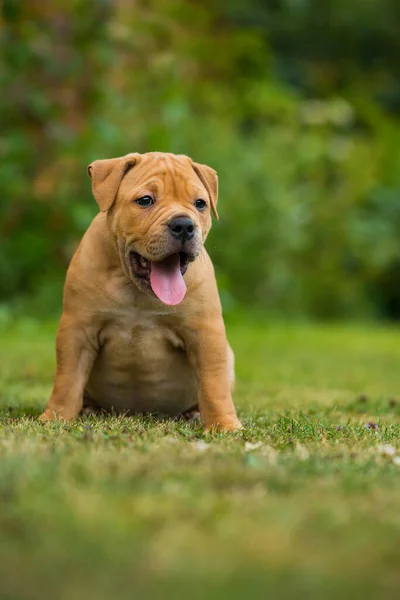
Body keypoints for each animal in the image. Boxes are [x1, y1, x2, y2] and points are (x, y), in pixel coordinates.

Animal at [40, 150, 241, 432]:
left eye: (200, 204)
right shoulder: (77, 329)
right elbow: (67, 380)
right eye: (145, 200)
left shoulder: (205, 333)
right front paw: (55, 418)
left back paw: (193, 414)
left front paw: (224, 425)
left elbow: (214, 384)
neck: (136, 290)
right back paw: (88, 409)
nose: (183, 225)